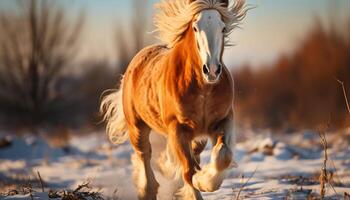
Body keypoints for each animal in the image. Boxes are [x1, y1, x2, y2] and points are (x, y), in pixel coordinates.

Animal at [101, 0, 249, 199]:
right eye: (195, 27)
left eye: (223, 28)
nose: (211, 70)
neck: (202, 90)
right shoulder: (178, 129)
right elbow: (188, 170)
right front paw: (198, 182)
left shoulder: (222, 121)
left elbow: (223, 156)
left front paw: (205, 181)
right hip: (137, 127)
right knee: (143, 154)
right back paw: (147, 190)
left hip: (198, 136)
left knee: (193, 154)